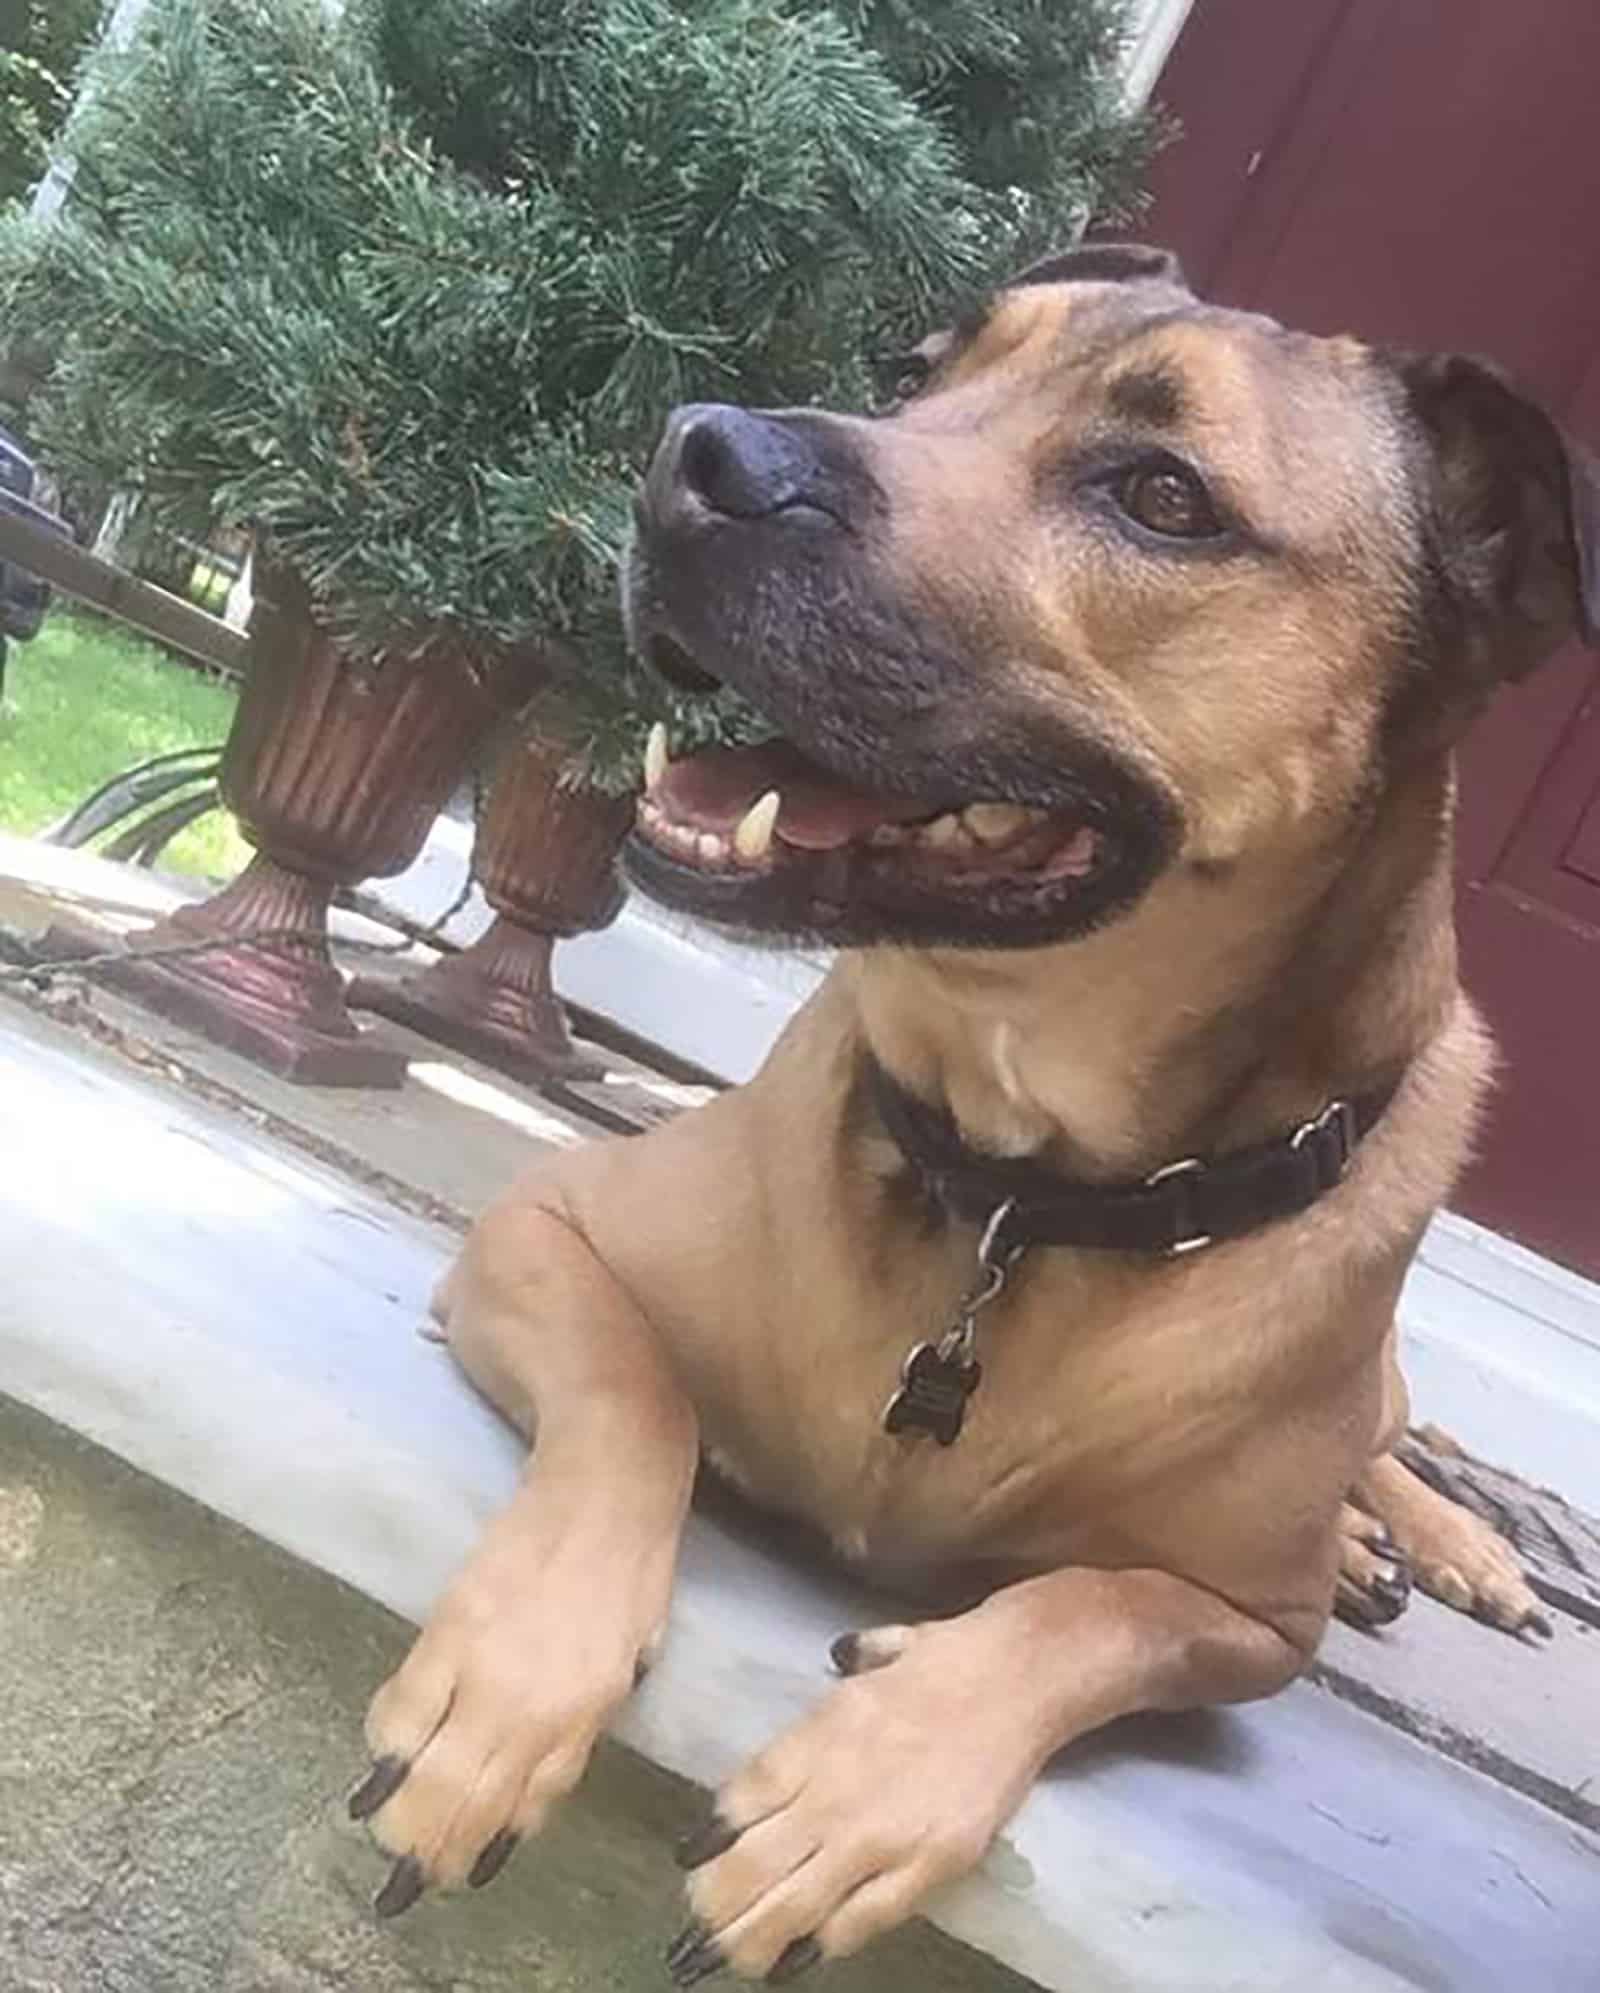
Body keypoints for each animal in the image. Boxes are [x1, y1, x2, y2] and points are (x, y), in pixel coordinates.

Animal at [344, 245, 1594, 1977]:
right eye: (918, 372)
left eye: (1164, 496)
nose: (696, 454)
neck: (1020, 1177)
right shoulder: (543, 1228)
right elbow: (636, 1399)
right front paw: (501, 1696)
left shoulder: (1244, 1622)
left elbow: (1090, 1612)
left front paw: (864, 1791)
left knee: (1386, 1432)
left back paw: (1438, 1538)